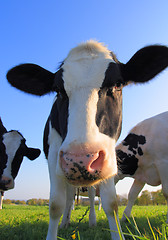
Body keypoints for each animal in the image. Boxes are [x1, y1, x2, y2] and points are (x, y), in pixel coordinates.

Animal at [6, 40, 168, 239]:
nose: (80, 159)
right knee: (69, 196)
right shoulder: (54, 155)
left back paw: (91, 220)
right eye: (58, 90)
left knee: (90, 194)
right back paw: (66, 222)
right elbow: (56, 204)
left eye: (118, 84)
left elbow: (111, 203)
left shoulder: (109, 158)